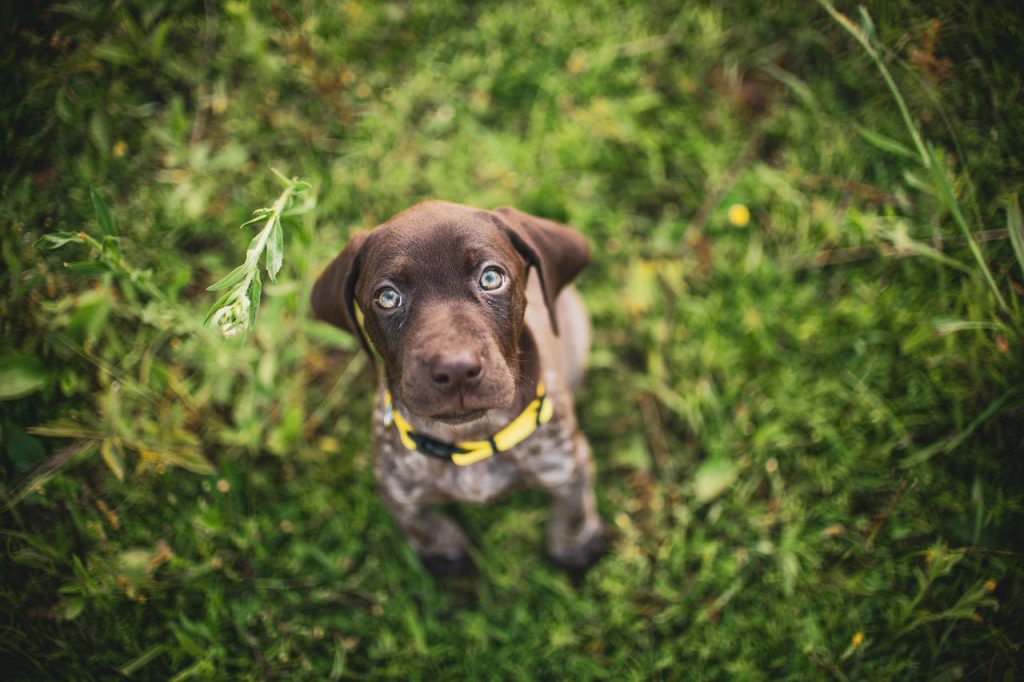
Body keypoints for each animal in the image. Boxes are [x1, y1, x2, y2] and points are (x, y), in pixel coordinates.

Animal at [307, 201, 602, 573]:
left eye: (491, 278)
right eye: (388, 297)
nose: (456, 369)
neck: (469, 438)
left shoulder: (568, 461)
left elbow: (573, 508)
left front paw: (575, 547)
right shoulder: (397, 488)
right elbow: (421, 526)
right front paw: (446, 555)